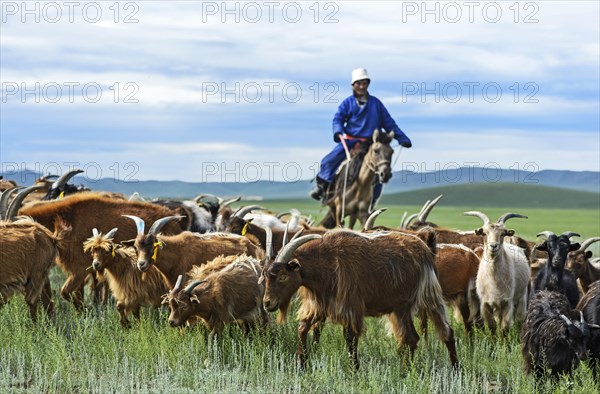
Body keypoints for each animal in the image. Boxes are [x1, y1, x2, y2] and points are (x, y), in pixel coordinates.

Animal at [19, 192, 185, 310]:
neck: (65, 219)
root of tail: (176, 222)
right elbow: (75, 293)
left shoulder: (80, 269)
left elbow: (65, 292)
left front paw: (85, 309)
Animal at [260, 229, 458, 370]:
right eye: (266, 275)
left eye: (283, 276)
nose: (267, 303)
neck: (327, 261)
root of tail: (426, 249)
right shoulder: (321, 304)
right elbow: (302, 327)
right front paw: (301, 363)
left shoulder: (350, 306)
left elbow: (350, 337)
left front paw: (354, 369)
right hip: (400, 308)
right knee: (410, 338)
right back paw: (405, 372)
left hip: (429, 296)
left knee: (447, 333)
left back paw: (456, 369)